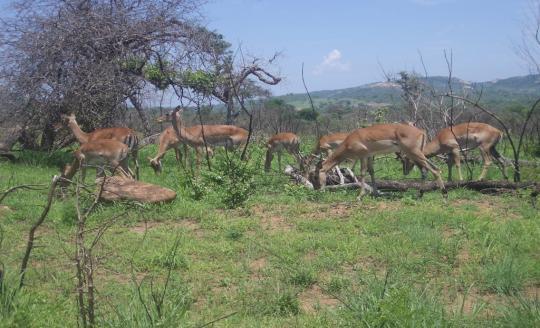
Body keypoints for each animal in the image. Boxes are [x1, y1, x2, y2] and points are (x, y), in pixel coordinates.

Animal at [314, 123, 446, 200]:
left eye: (315, 175)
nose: (317, 189)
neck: (349, 141)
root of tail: (421, 131)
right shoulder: (369, 156)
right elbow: (372, 172)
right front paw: (376, 193)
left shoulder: (363, 156)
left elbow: (362, 173)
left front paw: (359, 196)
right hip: (416, 155)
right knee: (427, 170)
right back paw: (420, 195)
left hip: (414, 153)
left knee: (435, 169)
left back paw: (444, 195)